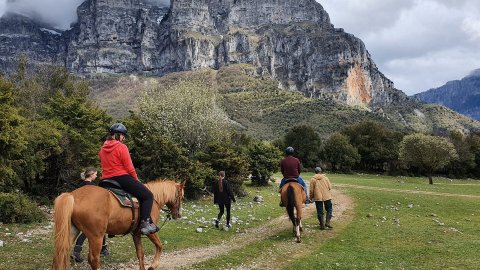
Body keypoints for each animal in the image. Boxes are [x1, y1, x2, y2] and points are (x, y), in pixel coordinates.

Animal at [52, 179, 186, 270]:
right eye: (182, 196)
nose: (178, 214)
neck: (153, 200)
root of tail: (73, 196)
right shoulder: (150, 231)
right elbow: (159, 246)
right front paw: (153, 265)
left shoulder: (136, 233)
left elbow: (140, 254)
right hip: (96, 236)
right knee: (93, 259)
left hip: (72, 232)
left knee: (60, 255)